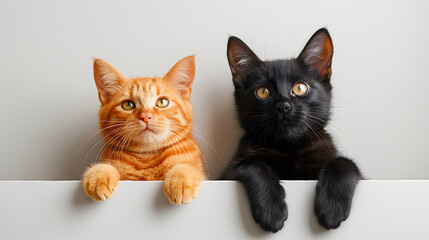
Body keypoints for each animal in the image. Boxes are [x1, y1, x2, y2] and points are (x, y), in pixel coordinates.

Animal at [83, 55, 206, 204]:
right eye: (128, 105)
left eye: (162, 102)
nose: (146, 116)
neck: (147, 156)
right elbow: (106, 166)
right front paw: (99, 174)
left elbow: (189, 168)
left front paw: (180, 179)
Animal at [221, 28, 362, 232]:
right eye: (263, 92)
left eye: (300, 88)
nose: (283, 106)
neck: (289, 148)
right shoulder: (227, 173)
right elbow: (252, 163)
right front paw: (270, 210)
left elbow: (344, 162)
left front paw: (332, 208)